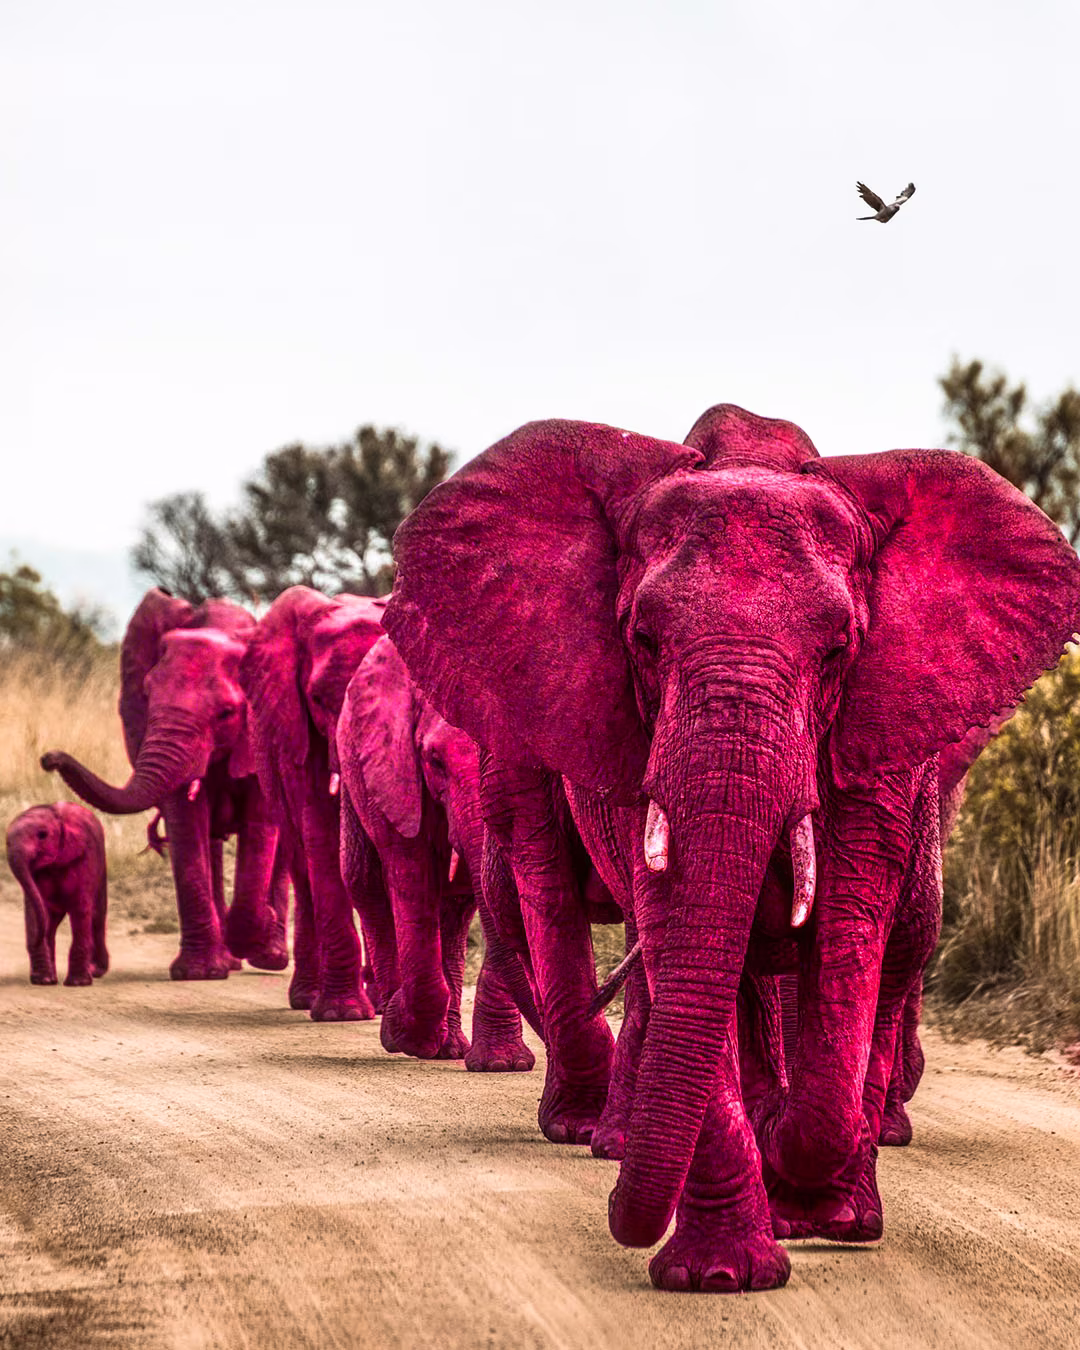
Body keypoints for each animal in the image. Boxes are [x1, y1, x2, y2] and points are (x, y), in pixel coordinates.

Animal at [6, 802, 109, 986]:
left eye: (42, 835)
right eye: (6, 841)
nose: (34, 941)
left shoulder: (86, 857)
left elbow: (80, 908)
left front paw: (78, 984)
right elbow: (35, 907)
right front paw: (43, 981)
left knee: (97, 916)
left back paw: (95, 971)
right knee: (51, 922)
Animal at [41, 589, 287, 980]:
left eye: (227, 713)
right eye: (146, 695)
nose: (49, 758)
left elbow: (262, 822)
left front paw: (258, 927)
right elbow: (185, 823)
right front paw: (199, 973)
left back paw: (270, 956)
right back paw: (230, 959)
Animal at [238, 586, 387, 1020]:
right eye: (318, 699)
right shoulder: (296, 730)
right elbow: (320, 829)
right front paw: (343, 1014)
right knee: (303, 868)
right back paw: (308, 998)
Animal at [383, 404, 1080, 1292]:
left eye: (839, 650)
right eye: (642, 642)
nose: (622, 1223)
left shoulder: (879, 730)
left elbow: (849, 930)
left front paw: (818, 1204)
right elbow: (677, 925)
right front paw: (723, 1275)